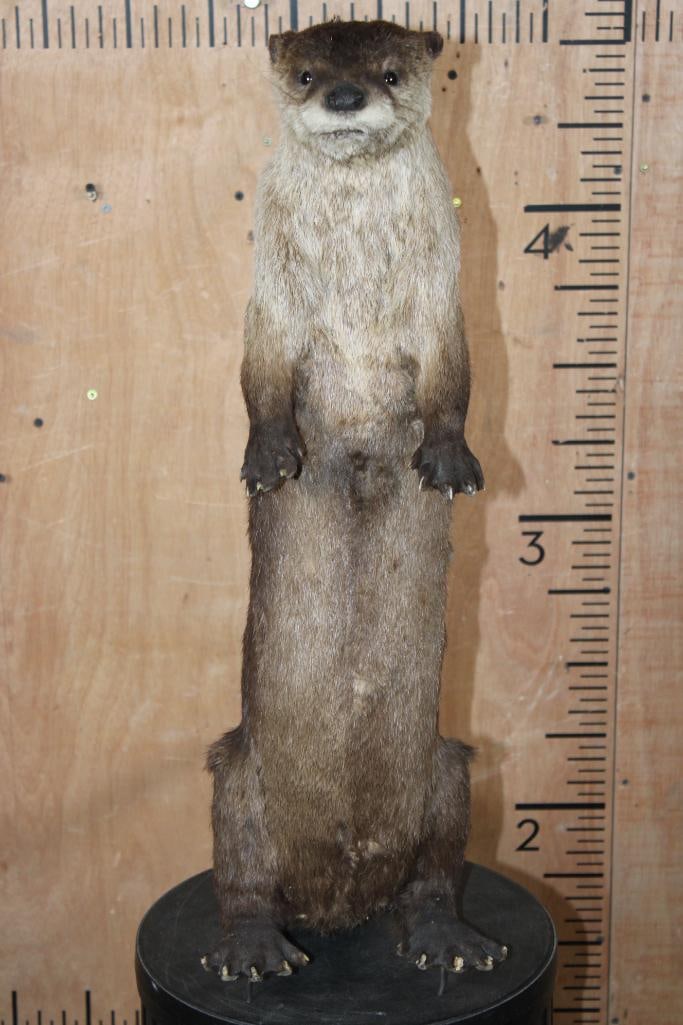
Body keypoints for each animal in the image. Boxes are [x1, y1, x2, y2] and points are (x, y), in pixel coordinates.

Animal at [202, 18, 507, 984]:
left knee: (434, 873)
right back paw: (254, 948)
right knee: (241, 880)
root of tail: (337, 906)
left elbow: (453, 382)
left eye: (387, 70)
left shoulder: (443, 300)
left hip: (447, 770)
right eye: (306, 73)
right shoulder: (268, 300)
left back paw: (447, 938)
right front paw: (268, 458)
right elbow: (260, 379)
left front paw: (447, 457)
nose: (342, 96)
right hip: (237, 777)